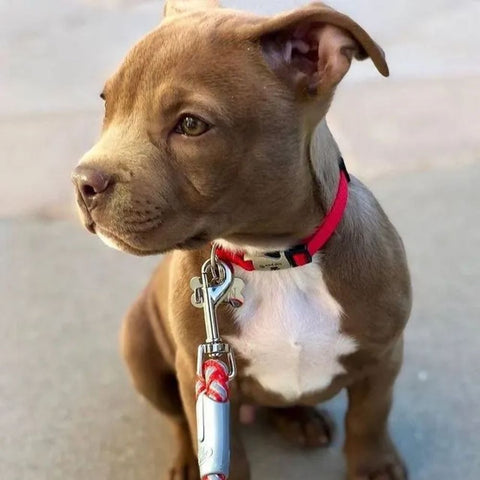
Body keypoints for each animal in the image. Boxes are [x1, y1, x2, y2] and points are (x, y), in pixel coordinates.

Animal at [72, 1, 412, 478]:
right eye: (107, 103)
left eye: (191, 124)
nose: (83, 182)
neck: (275, 257)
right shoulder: (201, 375)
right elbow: (216, 443)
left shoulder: (384, 356)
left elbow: (370, 415)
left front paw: (374, 465)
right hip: (139, 345)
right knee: (177, 419)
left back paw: (299, 419)